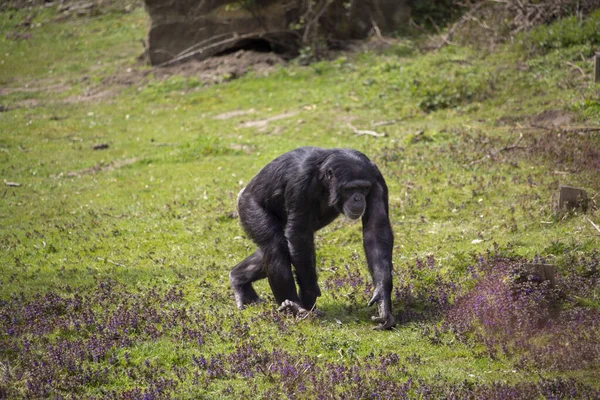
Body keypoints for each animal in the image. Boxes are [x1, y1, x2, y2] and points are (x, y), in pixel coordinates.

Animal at [230, 146, 394, 328]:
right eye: (350, 189)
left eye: (364, 188)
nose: (358, 198)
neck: (324, 181)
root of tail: (242, 193)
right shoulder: (300, 183)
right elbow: (299, 233)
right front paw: (309, 293)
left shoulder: (376, 179)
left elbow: (376, 229)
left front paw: (382, 297)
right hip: (249, 207)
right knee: (275, 245)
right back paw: (292, 306)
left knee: (274, 248)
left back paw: (239, 281)